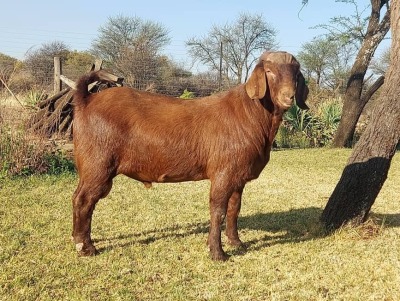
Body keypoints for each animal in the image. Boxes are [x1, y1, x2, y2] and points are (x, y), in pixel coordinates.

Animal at [71, 50, 310, 258]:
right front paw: (217, 253)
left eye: (296, 73)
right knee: (84, 200)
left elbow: (234, 209)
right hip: (98, 164)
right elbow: (218, 210)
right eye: (269, 71)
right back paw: (85, 247)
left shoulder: (238, 176)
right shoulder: (223, 173)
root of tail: (86, 100)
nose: (288, 97)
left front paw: (236, 242)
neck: (250, 113)